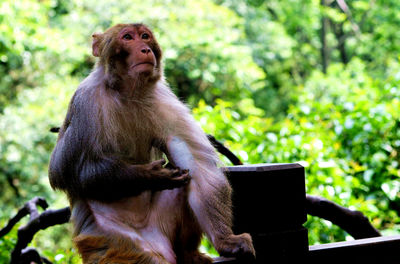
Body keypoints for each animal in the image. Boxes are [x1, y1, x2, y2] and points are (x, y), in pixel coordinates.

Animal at [49, 23, 253, 264]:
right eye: (128, 37)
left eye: (145, 36)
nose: (145, 49)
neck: (127, 93)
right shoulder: (85, 104)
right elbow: (65, 171)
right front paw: (149, 176)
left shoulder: (164, 101)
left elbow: (196, 164)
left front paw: (226, 241)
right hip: (113, 241)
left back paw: (187, 253)